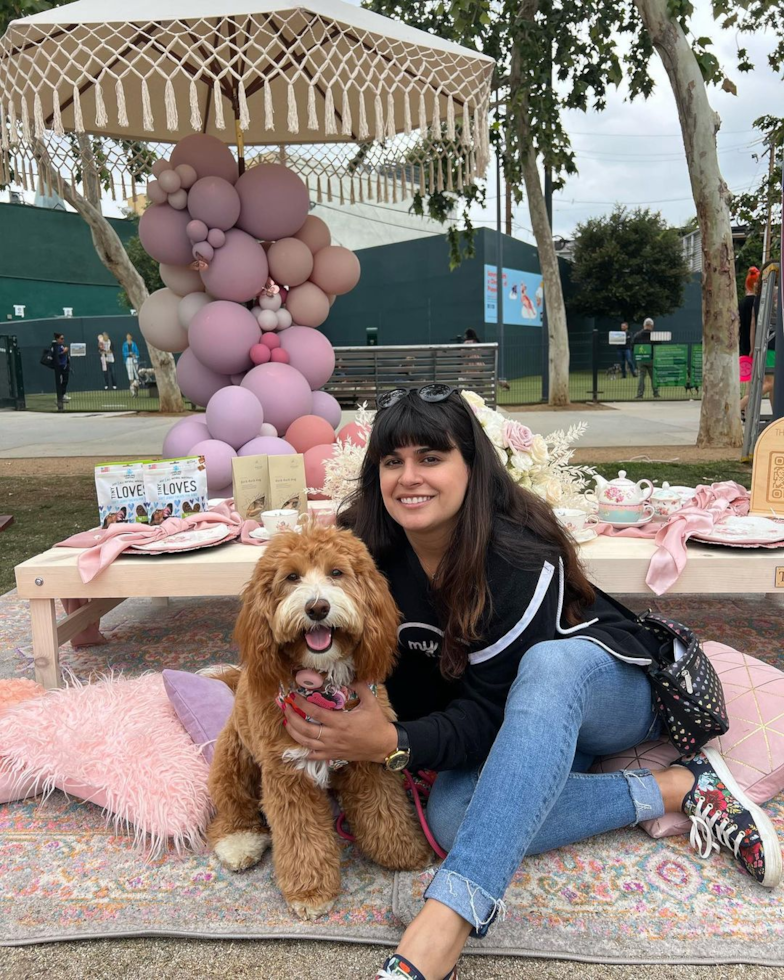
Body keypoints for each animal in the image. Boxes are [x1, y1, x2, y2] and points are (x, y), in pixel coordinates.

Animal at [205, 524, 432, 916]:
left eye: (336, 572)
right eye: (291, 577)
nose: (317, 607)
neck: (324, 685)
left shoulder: (367, 759)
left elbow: (384, 809)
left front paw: (405, 852)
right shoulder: (288, 774)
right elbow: (302, 837)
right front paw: (310, 892)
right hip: (234, 758)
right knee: (232, 805)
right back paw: (239, 841)